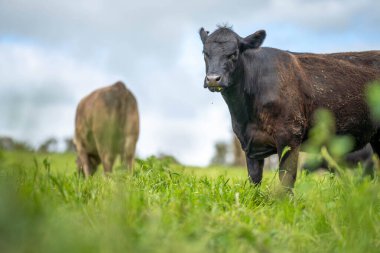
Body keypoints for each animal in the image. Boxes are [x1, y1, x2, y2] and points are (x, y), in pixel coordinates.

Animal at [199, 25, 380, 189]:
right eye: (205, 53)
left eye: (234, 53)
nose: (213, 79)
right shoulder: (249, 144)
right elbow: (254, 180)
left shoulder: (290, 135)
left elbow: (286, 179)